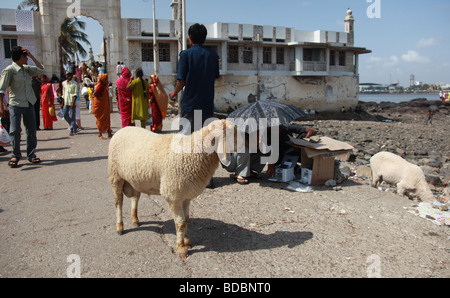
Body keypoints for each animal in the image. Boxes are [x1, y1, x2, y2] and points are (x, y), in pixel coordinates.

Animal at [107, 118, 237, 258]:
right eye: (230, 133)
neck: (193, 154)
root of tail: (123, 129)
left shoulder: (185, 196)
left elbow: (186, 219)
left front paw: (186, 240)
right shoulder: (173, 196)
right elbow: (180, 222)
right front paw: (181, 248)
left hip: (134, 178)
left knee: (135, 197)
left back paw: (135, 219)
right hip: (115, 176)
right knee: (118, 202)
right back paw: (120, 227)